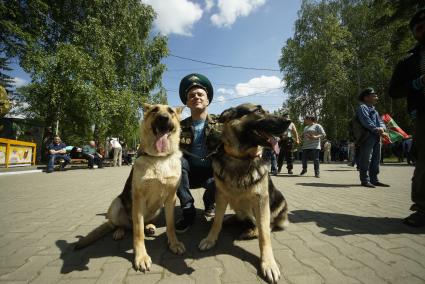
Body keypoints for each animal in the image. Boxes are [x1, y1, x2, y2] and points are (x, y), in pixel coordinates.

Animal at [75, 103, 185, 272]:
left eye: (171, 111)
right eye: (155, 110)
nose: (163, 118)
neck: (159, 158)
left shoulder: (170, 199)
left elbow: (171, 226)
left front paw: (174, 243)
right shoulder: (138, 199)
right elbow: (138, 233)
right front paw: (141, 257)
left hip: (158, 209)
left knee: (143, 223)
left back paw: (150, 226)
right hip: (116, 204)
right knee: (120, 225)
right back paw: (119, 231)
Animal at [197, 103, 290, 282]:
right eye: (259, 111)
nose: (289, 121)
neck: (240, 157)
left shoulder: (261, 200)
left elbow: (265, 235)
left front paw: (268, 263)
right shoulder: (221, 196)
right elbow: (217, 221)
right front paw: (211, 239)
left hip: (279, 199)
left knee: (269, 225)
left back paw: (252, 231)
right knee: (241, 219)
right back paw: (234, 221)